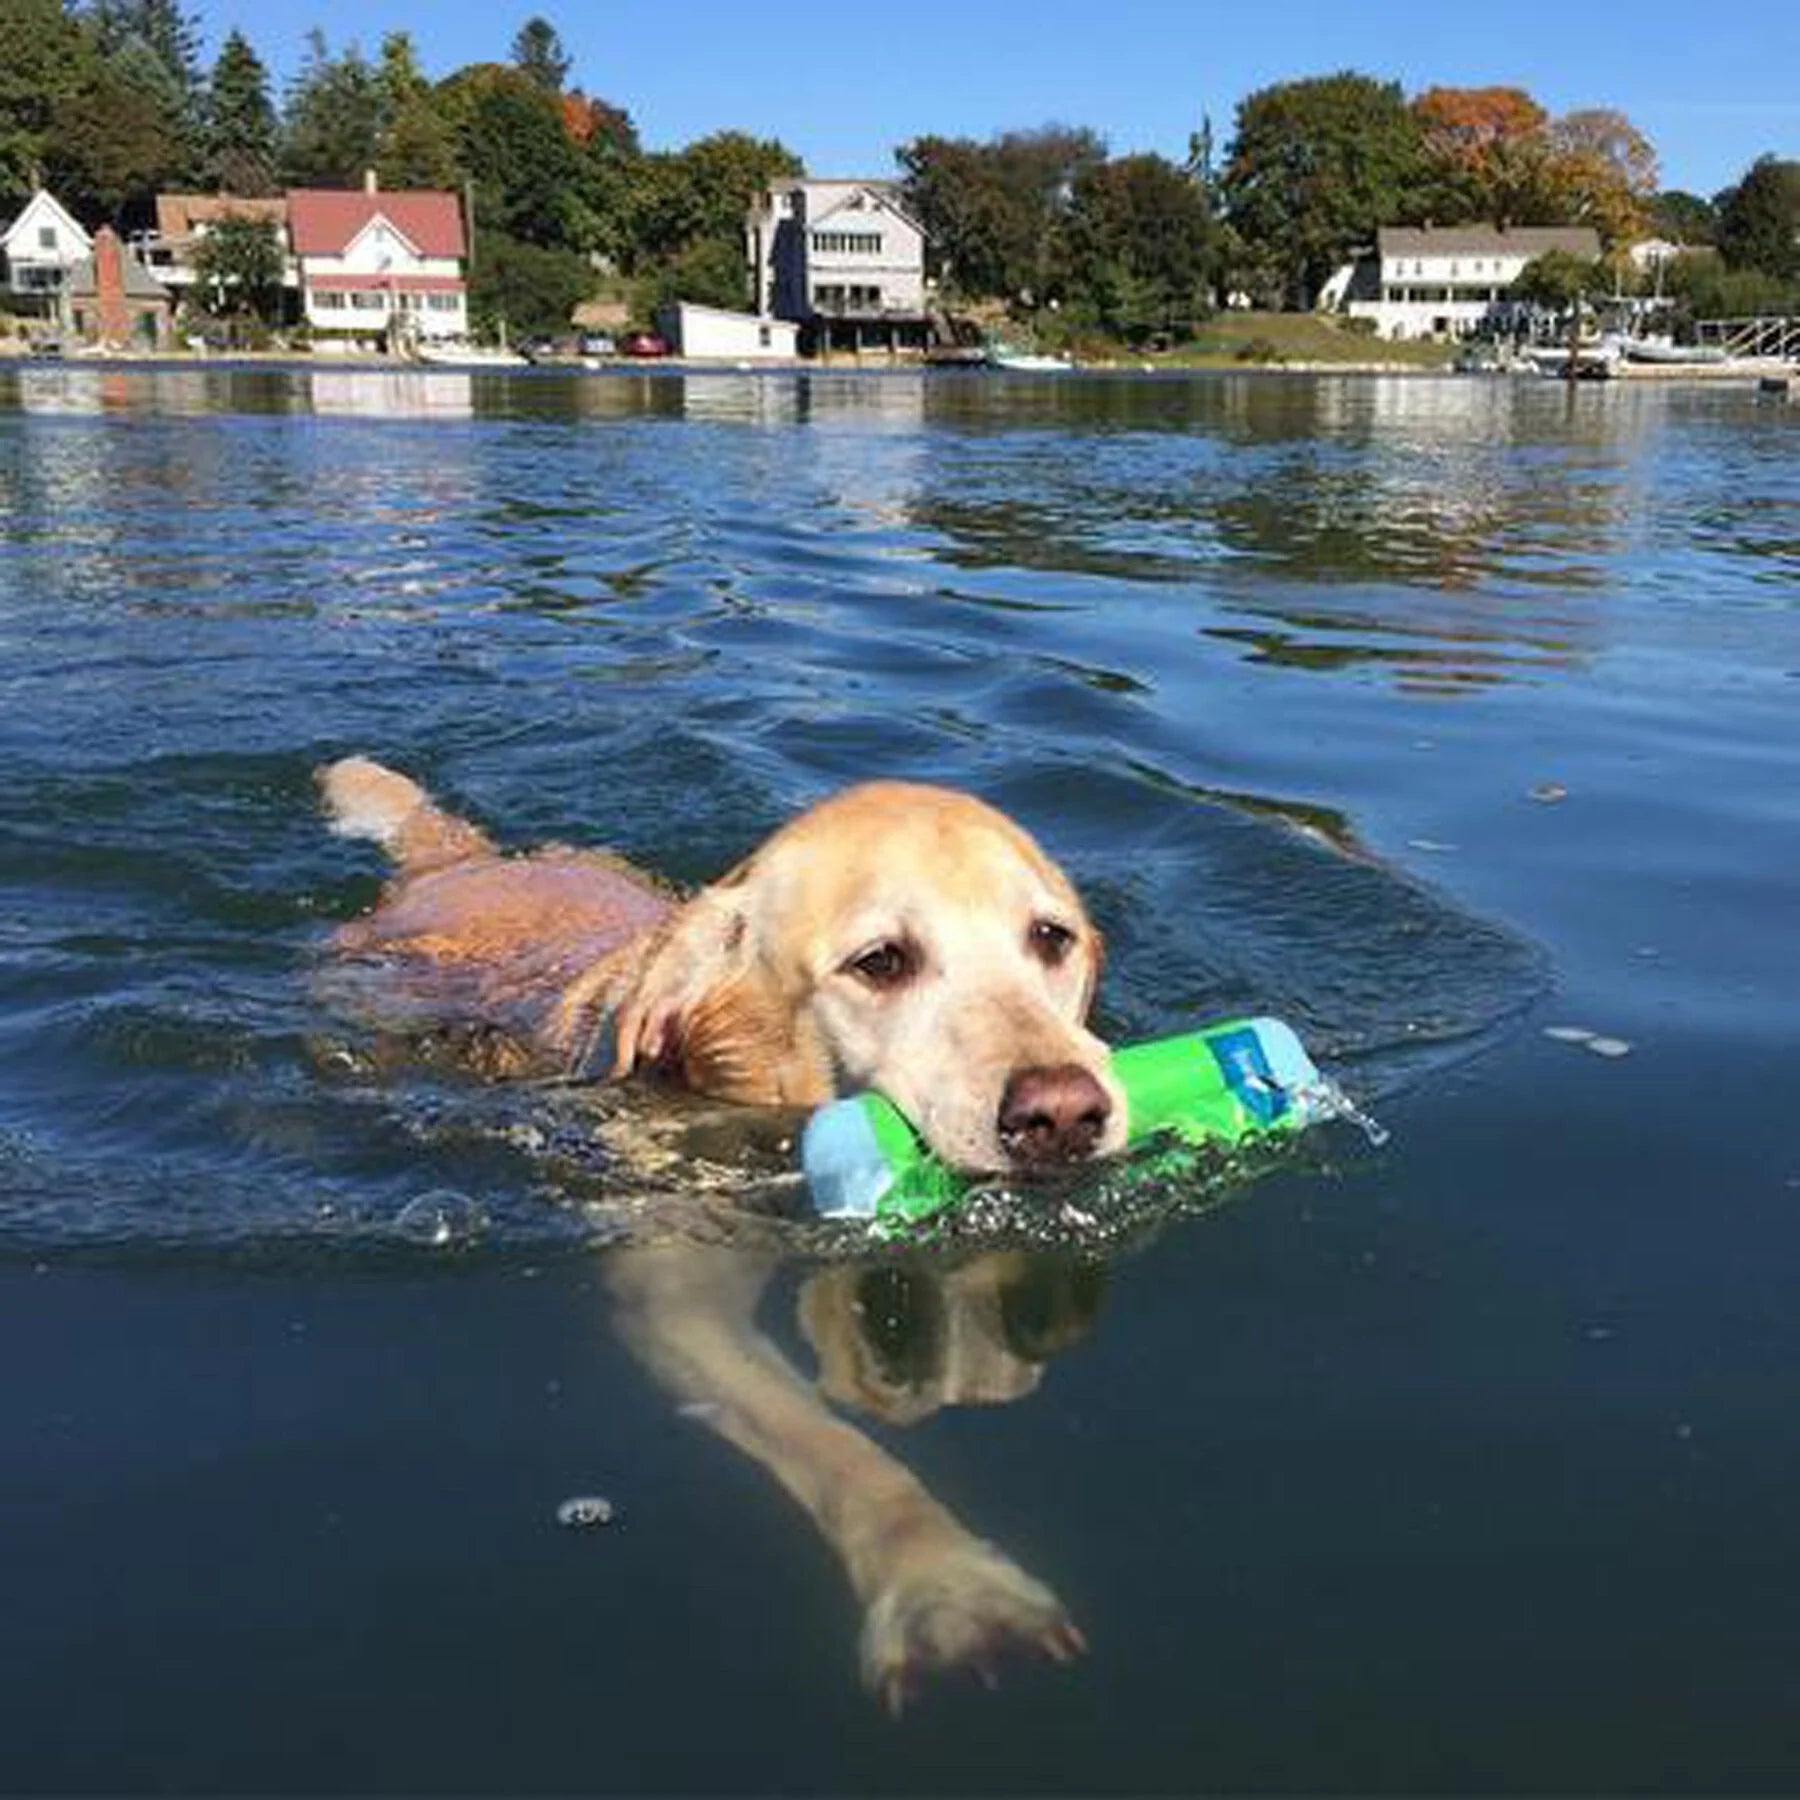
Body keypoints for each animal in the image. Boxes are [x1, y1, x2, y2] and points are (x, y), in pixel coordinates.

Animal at [316, 756, 1116, 1699]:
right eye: (882, 961)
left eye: (1051, 938)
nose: (1063, 1114)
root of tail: (463, 862)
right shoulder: (677, 1307)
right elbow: (829, 1441)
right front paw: (944, 1585)